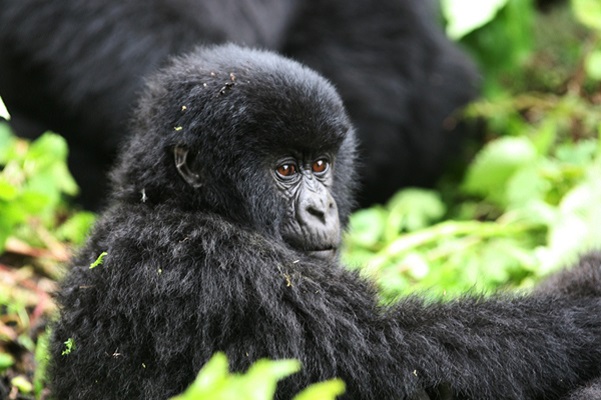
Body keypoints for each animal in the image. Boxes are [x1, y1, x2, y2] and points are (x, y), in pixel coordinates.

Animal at [49, 43, 600, 400]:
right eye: (285, 170)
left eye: (320, 165)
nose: (321, 208)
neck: (172, 201)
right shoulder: (224, 271)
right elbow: (404, 358)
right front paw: (590, 307)